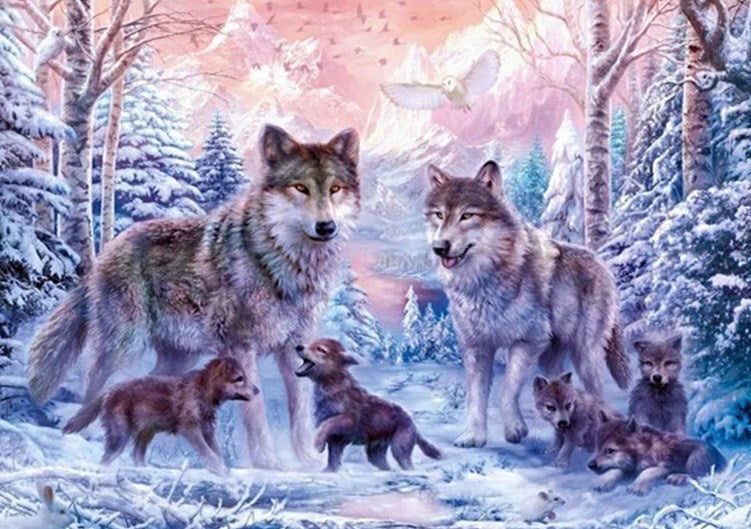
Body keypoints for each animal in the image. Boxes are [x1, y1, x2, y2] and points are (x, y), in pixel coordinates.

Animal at [63, 358, 258, 475]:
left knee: (135, 455)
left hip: (146, 433)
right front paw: (219, 470)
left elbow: (216, 452)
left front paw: (223, 469)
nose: (257, 390)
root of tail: (109, 390)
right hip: (121, 436)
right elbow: (208, 453)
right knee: (107, 458)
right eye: (240, 378)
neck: (201, 393)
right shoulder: (191, 430)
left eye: (245, 377)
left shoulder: (208, 430)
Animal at [294, 338, 442, 472]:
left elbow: (326, 426)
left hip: (399, 449)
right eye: (310, 343)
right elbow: (333, 458)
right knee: (386, 466)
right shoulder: (336, 440)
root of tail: (414, 424)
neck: (332, 386)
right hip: (375, 453)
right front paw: (329, 471)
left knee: (407, 465)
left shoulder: (347, 421)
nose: (298, 346)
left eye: (321, 349)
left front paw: (317, 445)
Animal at [424, 160, 630, 447]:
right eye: (439, 215)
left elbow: (506, 391)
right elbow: (475, 399)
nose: (440, 247)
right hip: (550, 360)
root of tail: (603, 266)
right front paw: (474, 436)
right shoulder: (476, 347)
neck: (483, 280)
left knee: (597, 395)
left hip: (584, 355)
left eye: (467, 216)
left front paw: (515, 430)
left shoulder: (526, 342)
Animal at [588, 415, 726, 495]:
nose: (590, 465)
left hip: (698, 454)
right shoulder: (629, 470)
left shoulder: (668, 465)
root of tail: (724, 460)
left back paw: (678, 477)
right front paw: (603, 483)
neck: (644, 451)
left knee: (699, 475)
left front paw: (638, 487)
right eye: (597, 448)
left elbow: (648, 472)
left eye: (610, 450)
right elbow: (615, 471)